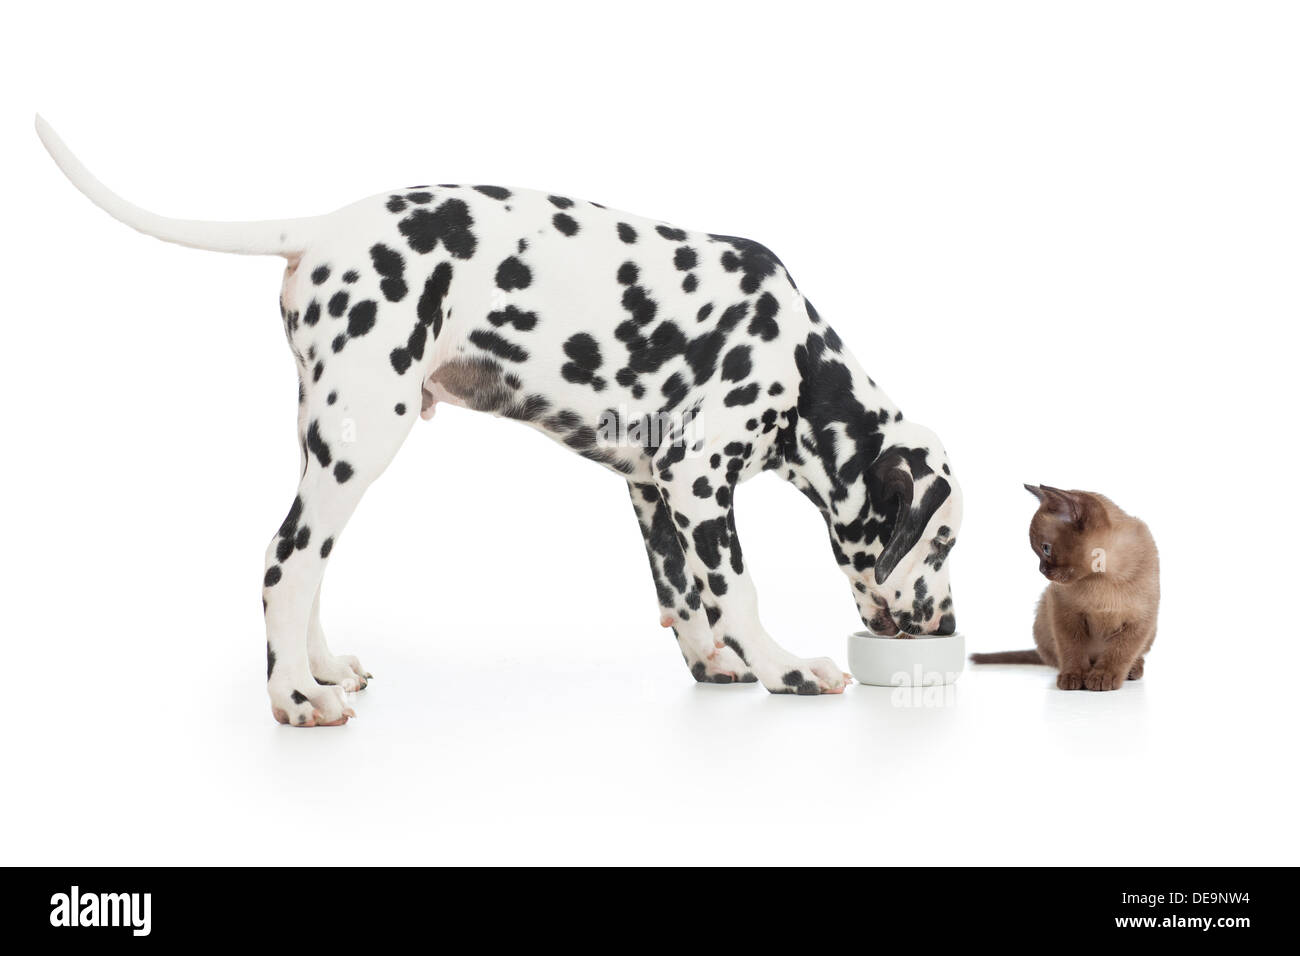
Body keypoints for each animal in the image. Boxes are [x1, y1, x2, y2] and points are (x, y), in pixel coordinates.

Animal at [35, 117, 961, 723]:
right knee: (283, 561)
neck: (802, 364)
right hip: (365, 439)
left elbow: (683, 593)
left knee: (308, 565)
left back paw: (320, 667)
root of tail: (321, 230)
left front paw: (713, 664)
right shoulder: (699, 480)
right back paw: (295, 697)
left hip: (330, 444)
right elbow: (735, 589)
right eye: (943, 543)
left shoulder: (653, 488)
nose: (949, 628)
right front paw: (785, 670)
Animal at [977, 486, 1159, 686]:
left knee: (1135, 655)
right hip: (1043, 609)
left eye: (1046, 548)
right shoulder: (1065, 613)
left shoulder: (1140, 621)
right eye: (1038, 551)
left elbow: (1120, 652)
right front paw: (1074, 676)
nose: (1041, 570)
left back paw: (1133, 671)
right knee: (1057, 658)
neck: (1102, 576)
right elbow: (1072, 648)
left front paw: (1103, 676)